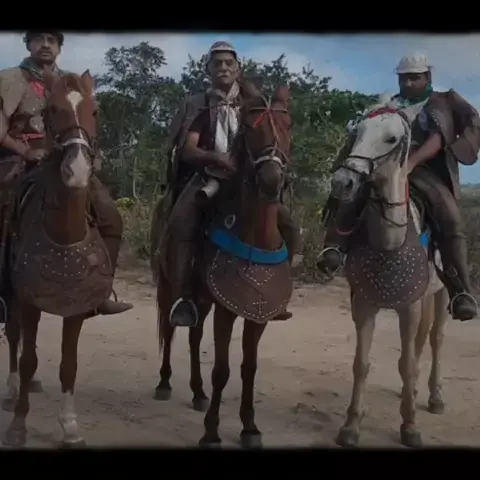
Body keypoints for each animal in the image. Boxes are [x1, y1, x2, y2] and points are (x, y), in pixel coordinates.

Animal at [327, 104, 449, 448]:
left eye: (392, 138)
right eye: (357, 132)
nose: (342, 182)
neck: (390, 242)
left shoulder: (410, 307)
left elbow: (406, 364)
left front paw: (410, 426)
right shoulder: (365, 304)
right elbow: (362, 364)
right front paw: (351, 425)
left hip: (441, 294)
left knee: (435, 339)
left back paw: (434, 397)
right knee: (421, 342)